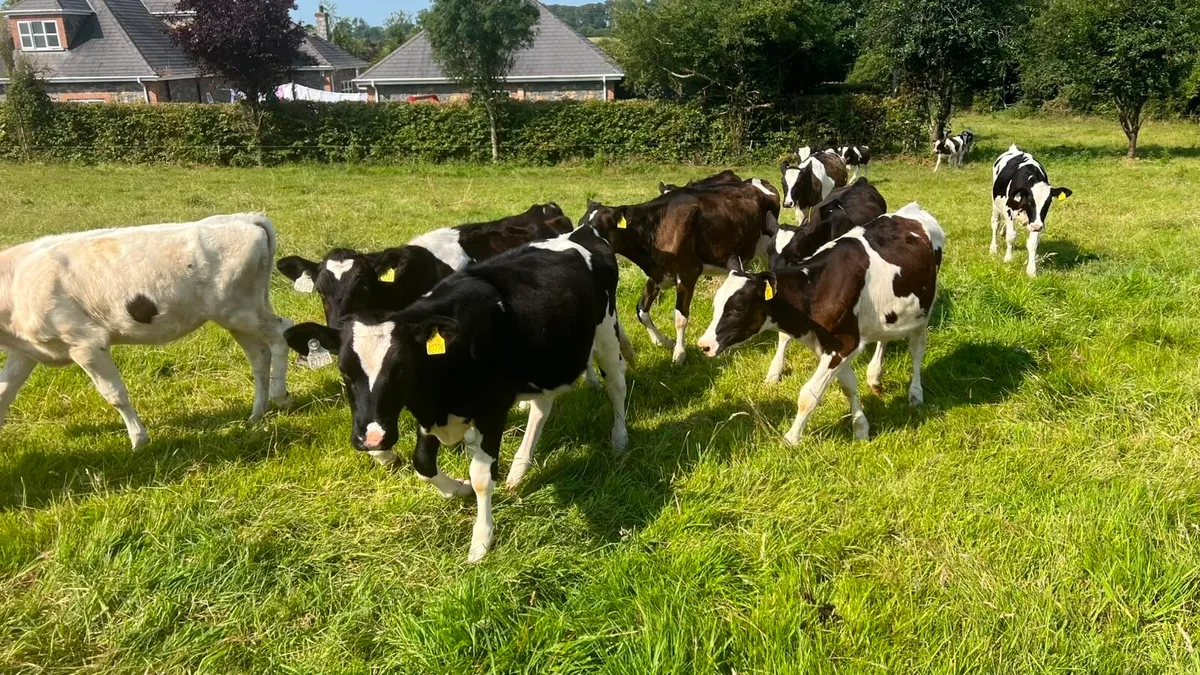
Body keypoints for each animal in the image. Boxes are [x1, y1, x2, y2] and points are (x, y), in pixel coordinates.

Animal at [0, 214, 292, 450]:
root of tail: (246, 218)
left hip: (239, 311)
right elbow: (4, 392)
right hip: (238, 316)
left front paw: (138, 440)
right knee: (259, 356)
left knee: (282, 332)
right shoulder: (25, 351)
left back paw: (279, 395)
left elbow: (115, 394)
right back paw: (257, 412)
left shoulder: (86, 343)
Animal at [283, 226, 632, 563]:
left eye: (400, 369)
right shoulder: (430, 411)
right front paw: (457, 490)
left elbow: (481, 475)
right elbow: (423, 464)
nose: (372, 439)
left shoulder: (492, 410)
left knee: (616, 384)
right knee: (541, 407)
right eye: (345, 372)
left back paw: (619, 439)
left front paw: (481, 539)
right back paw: (519, 469)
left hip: (605, 332)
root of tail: (578, 232)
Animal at [582, 179, 780, 365]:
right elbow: (641, 310)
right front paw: (663, 341)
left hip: (765, 247)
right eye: (579, 224)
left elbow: (680, 317)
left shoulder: (687, 273)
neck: (657, 227)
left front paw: (679, 354)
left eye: (599, 229)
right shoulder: (657, 274)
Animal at [697, 203, 945, 446]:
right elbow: (848, 386)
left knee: (917, 350)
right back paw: (875, 376)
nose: (704, 345)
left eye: (738, 308)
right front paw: (861, 428)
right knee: (884, 338)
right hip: (889, 312)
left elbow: (809, 394)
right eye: (715, 304)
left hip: (923, 311)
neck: (814, 288)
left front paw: (791, 439)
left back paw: (915, 394)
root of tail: (913, 209)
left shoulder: (843, 344)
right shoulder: (828, 345)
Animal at [991, 145, 1073, 277]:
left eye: (1048, 202)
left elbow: (1033, 243)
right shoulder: (1009, 211)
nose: (1037, 226)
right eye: (1029, 201)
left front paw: (1031, 270)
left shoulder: (1037, 221)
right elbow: (1011, 235)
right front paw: (1008, 258)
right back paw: (993, 248)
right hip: (995, 203)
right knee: (995, 223)